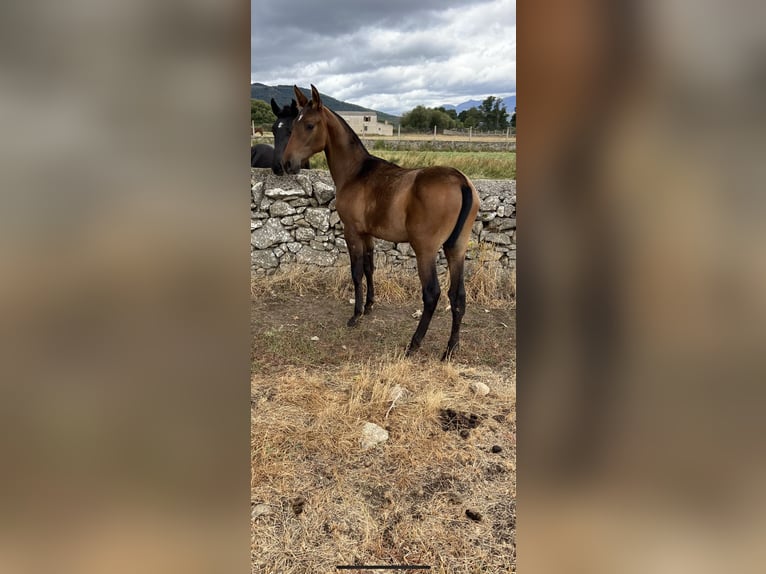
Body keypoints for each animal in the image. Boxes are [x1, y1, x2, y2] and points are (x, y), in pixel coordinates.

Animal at [282, 85, 480, 360]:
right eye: (294, 124)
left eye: (310, 125)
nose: (287, 163)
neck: (356, 172)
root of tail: (460, 181)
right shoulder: (368, 234)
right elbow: (369, 268)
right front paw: (369, 306)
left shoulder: (352, 232)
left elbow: (356, 272)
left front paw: (355, 315)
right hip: (456, 248)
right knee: (457, 296)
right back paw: (450, 349)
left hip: (426, 251)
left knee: (432, 294)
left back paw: (414, 344)